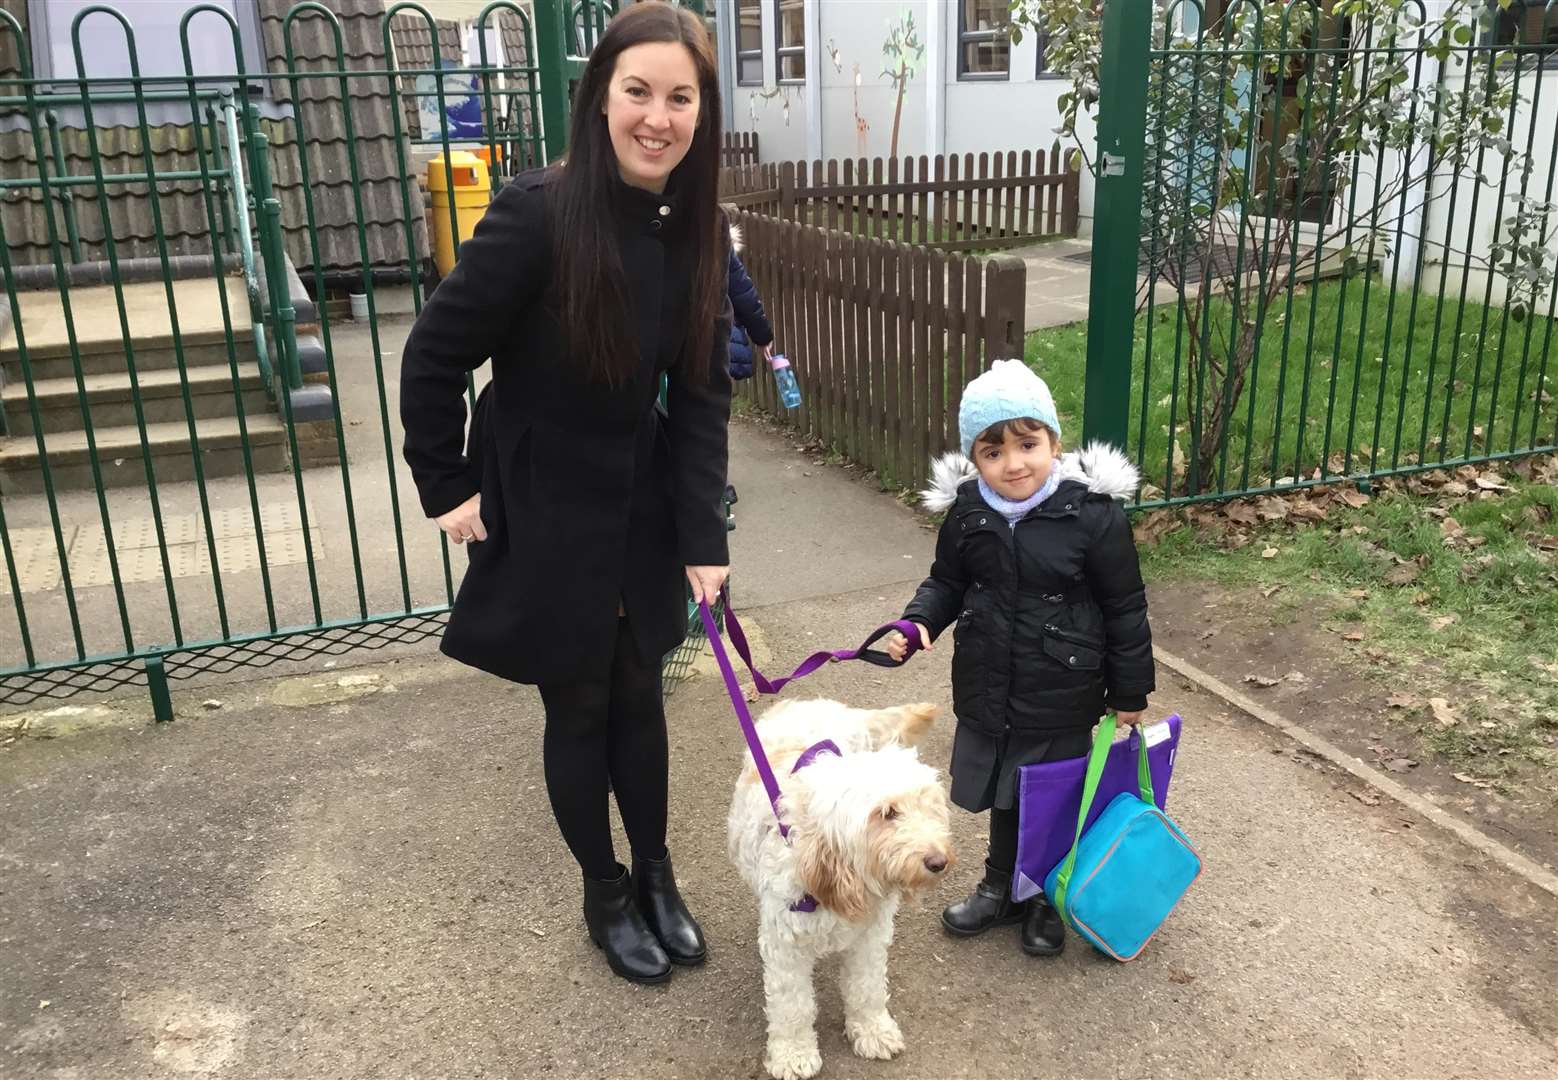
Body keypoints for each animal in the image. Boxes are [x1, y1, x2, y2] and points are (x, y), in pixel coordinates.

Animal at [726, 698, 947, 1078]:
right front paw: (793, 1054)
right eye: (887, 813)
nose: (938, 861)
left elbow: (867, 987)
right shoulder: (786, 946)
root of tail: (811, 702)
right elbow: (793, 1006)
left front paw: (872, 1030)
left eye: (931, 806)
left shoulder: (870, 937)